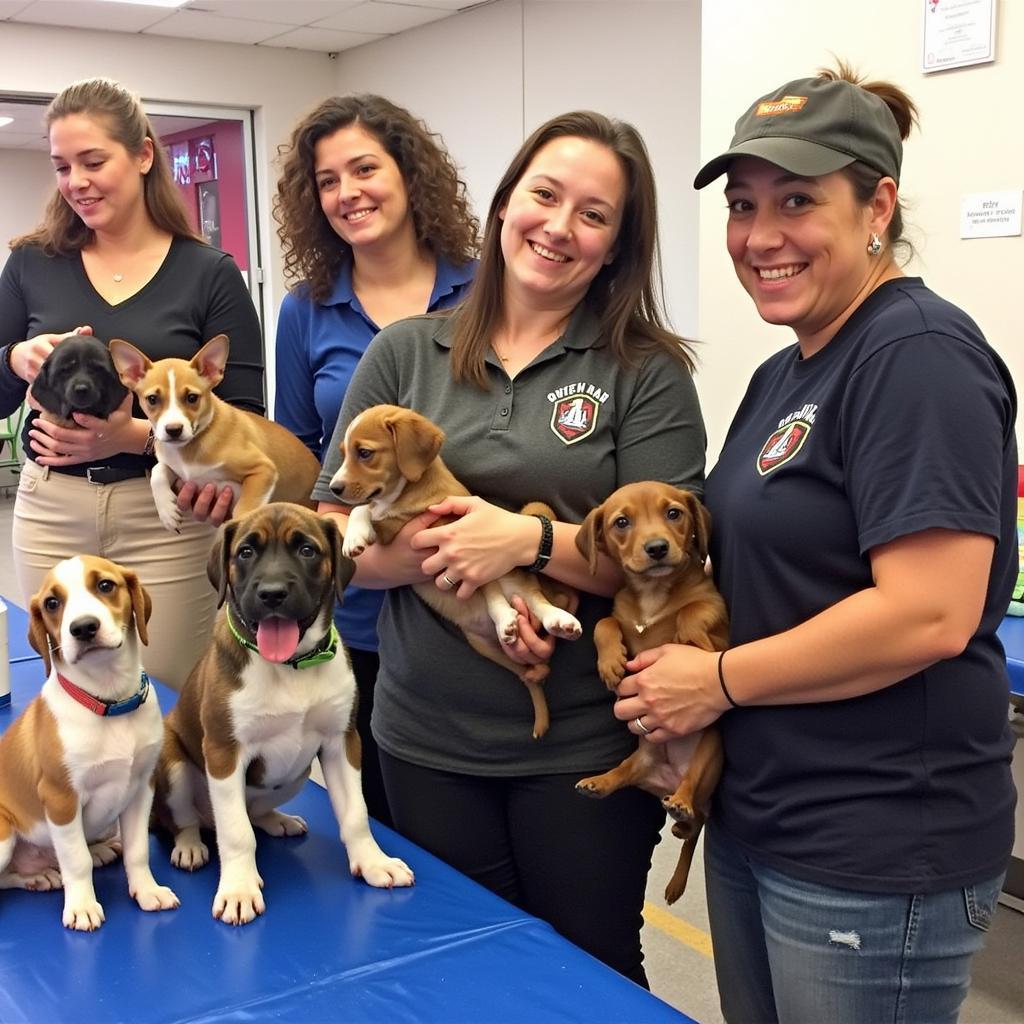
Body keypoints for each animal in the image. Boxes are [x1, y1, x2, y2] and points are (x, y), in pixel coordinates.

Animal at [0, 557, 179, 933]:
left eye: (105, 586)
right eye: (53, 603)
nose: (83, 628)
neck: (108, 702)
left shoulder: (141, 788)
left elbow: (137, 850)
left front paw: (146, 891)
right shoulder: (60, 799)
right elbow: (75, 859)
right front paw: (82, 906)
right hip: (4, 833)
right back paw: (37, 877)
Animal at [109, 335, 317, 536]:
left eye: (192, 398)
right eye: (152, 399)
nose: (174, 430)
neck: (189, 448)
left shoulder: (263, 469)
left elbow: (244, 510)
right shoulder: (178, 470)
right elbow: (157, 471)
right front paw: (167, 512)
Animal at [152, 499, 415, 925]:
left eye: (307, 550)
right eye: (245, 552)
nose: (272, 594)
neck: (291, 666)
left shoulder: (342, 743)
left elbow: (355, 814)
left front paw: (374, 862)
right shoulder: (224, 752)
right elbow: (235, 832)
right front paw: (239, 889)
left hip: (298, 774)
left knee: (253, 811)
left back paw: (277, 820)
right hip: (172, 765)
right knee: (187, 820)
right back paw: (190, 846)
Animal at [331, 401, 581, 737]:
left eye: (365, 452)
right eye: (344, 452)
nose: (334, 488)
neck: (408, 493)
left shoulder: (452, 534)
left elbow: (364, 509)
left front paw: (357, 535)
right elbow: (366, 509)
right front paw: (355, 536)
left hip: (502, 571)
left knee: (526, 598)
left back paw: (535, 619)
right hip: (485, 646)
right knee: (529, 658)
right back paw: (532, 630)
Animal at [577, 481, 729, 905]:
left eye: (674, 513)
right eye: (621, 522)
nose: (658, 548)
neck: (653, 592)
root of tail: (667, 781)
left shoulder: (717, 615)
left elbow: (694, 610)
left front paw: (690, 636)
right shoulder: (621, 616)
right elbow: (605, 623)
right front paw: (611, 663)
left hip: (708, 754)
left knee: (694, 824)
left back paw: (680, 813)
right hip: (640, 761)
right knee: (625, 777)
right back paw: (598, 783)